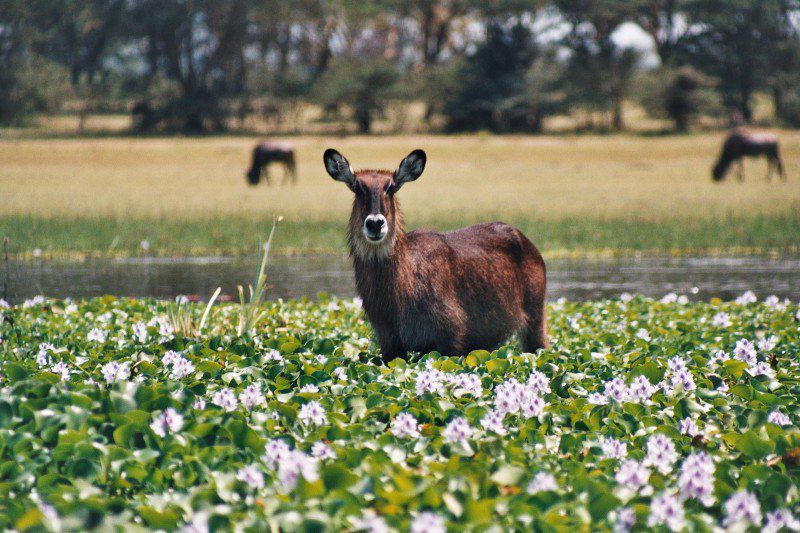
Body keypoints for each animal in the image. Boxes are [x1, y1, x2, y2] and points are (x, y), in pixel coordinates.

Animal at [322, 148, 548, 362]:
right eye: (357, 187)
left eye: (391, 187)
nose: (375, 223)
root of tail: (524, 239)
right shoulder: (389, 344)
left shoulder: (450, 338)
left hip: (535, 320)